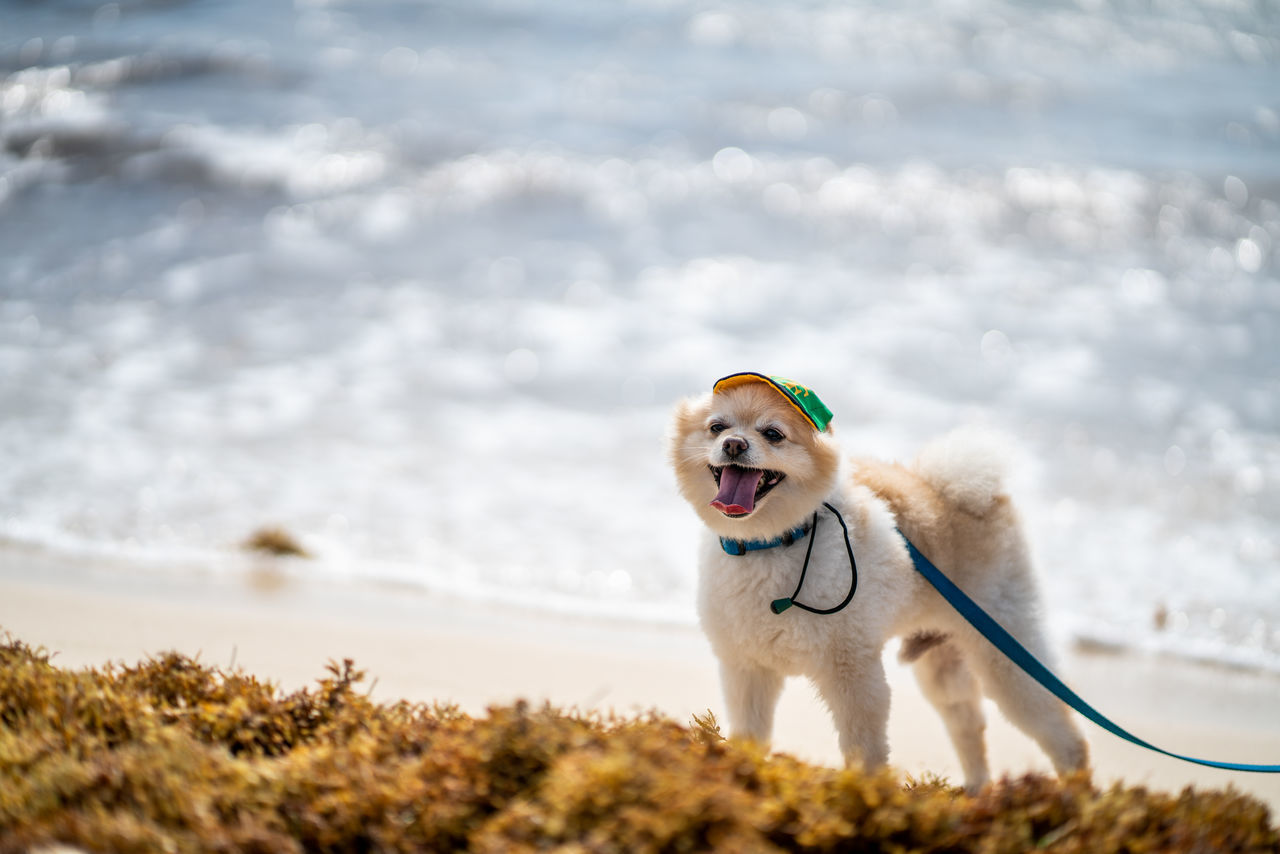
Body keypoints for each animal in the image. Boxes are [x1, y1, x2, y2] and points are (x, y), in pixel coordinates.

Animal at [670, 371, 1090, 793]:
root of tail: (978, 492)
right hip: (943, 663)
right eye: (717, 427)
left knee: (1065, 736)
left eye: (773, 434)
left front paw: (862, 794)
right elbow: (751, 735)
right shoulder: (747, 668)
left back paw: (1075, 796)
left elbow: (864, 747)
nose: (734, 444)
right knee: (968, 723)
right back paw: (975, 792)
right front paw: (746, 774)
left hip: (1005, 655)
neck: (774, 541)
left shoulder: (852, 671)